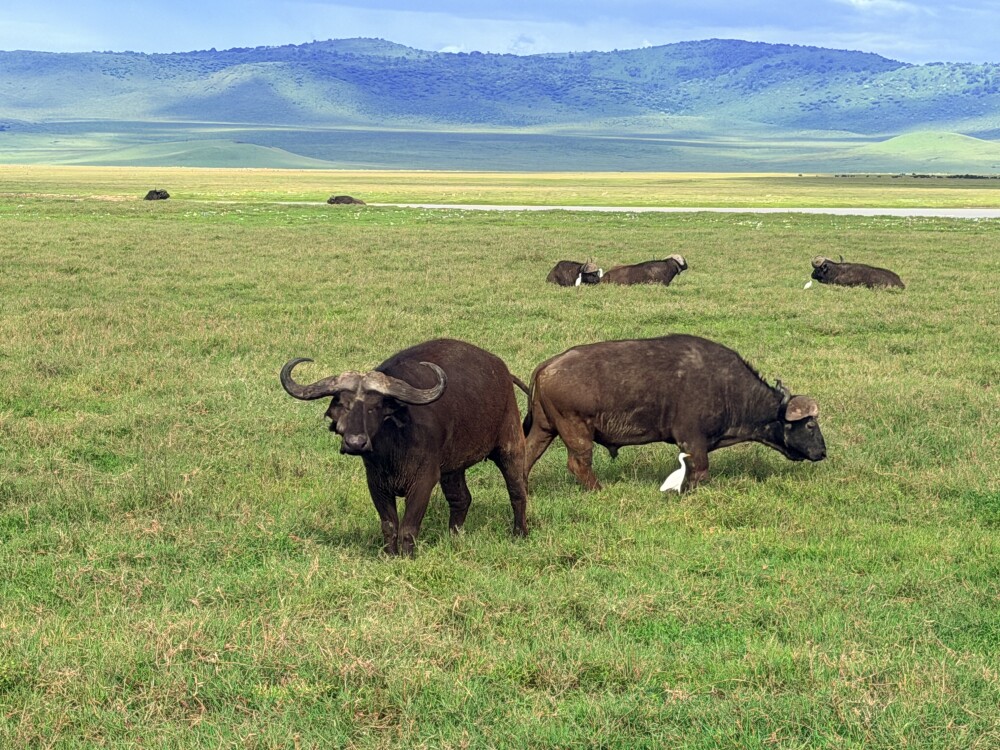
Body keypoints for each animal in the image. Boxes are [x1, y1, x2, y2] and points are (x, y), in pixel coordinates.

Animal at [280, 338, 528, 556]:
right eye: (343, 405)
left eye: (374, 407)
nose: (355, 442)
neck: (393, 448)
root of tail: (501, 370)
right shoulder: (376, 483)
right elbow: (389, 525)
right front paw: (390, 555)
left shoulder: (423, 481)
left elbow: (408, 527)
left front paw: (407, 556)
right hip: (453, 468)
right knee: (461, 499)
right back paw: (454, 538)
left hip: (510, 445)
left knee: (517, 491)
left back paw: (520, 533)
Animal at [522, 334, 826, 491]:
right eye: (810, 425)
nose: (822, 452)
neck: (727, 385)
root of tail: (549, 365)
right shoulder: (693, 441)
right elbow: (700, 471)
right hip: (576, 432)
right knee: (579, 464)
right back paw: (598, 490)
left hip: (545, 429)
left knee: (526, 457)